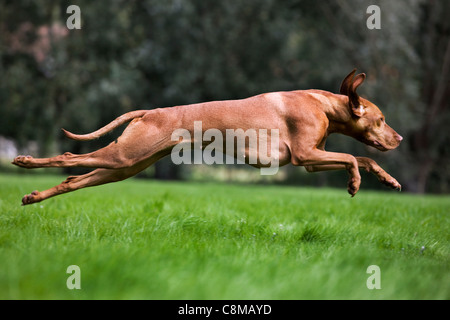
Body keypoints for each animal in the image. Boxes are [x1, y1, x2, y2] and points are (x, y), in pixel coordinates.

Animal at [13, 69, 400, 206]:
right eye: (381, 120)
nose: (398, 138)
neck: (323, 105)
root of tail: (149, 112)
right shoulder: (305, 155)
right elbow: (352, 159)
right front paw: (354, 183)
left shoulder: (311, 161)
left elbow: (364, 158)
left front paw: (387, 179)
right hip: (123, 157)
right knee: (67, 158)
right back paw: (25, 161)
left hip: (125, 166)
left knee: (72, 180)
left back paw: (34, 196)